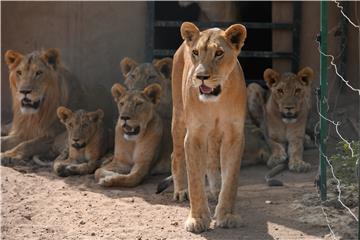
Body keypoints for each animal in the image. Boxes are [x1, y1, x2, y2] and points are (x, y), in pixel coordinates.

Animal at [172, 22, 248, 232]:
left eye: (219, 53)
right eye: (196, 52)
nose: (201, 76)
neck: (216, 101)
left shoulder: (234, 135)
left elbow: (231, 180)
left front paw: (227, 215)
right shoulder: (194, 135)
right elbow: (195, 180)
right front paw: (197, 219)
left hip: (214, 133)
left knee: (212, 158)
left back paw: (215, 189)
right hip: (178, 116)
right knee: (176, 155)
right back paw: (181, 191)